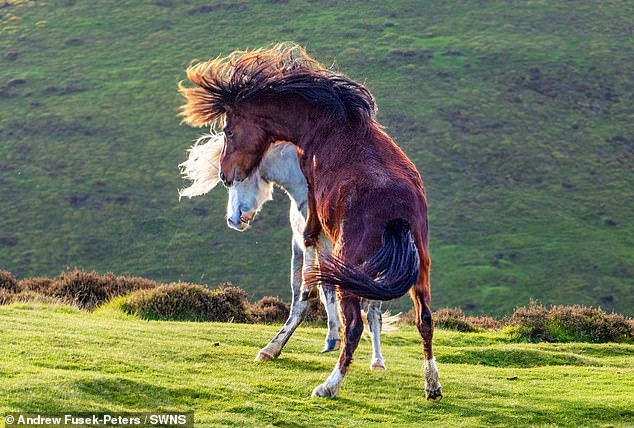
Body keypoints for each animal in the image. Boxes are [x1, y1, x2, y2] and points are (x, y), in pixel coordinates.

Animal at [179, 132, 396, 370]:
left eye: (234, 178)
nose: (232, 220)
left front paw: (331, 337)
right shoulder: (303, 247)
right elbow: (308, 297)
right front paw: (277, 347)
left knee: (373, 311)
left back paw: (377, 361)